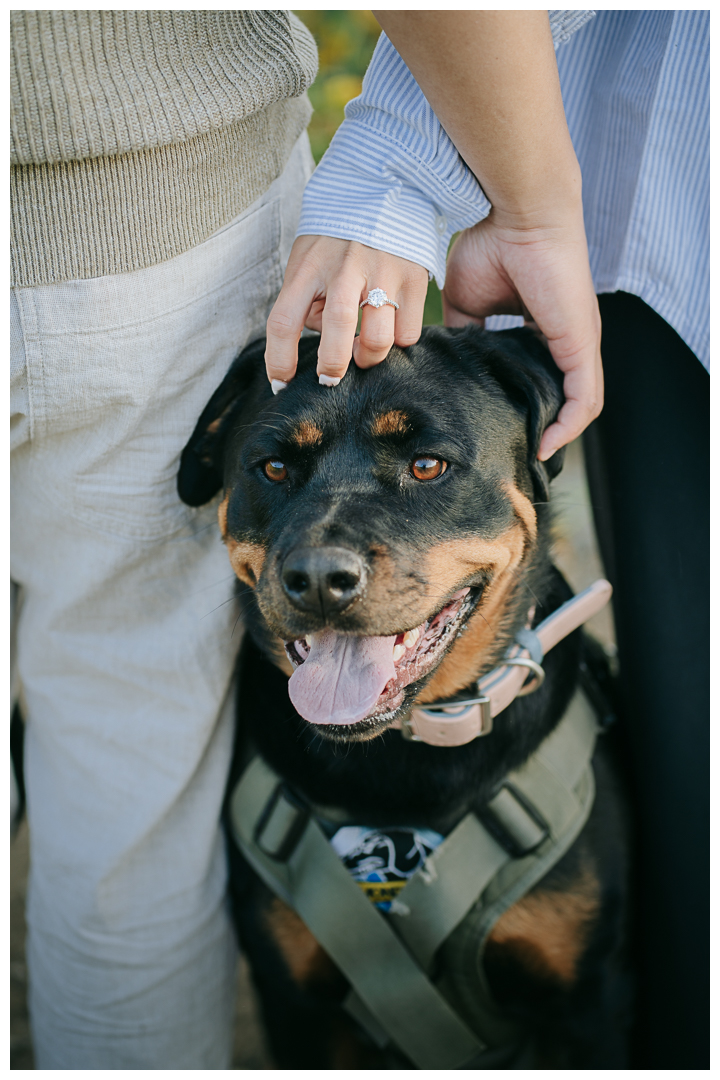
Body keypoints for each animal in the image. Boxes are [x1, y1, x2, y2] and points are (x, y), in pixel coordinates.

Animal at [179, 328, 630, 1071]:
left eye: (426, 466)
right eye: (272, 469)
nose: (319, 578)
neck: (402, 760)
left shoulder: (589, 1001)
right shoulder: (298, 1003)